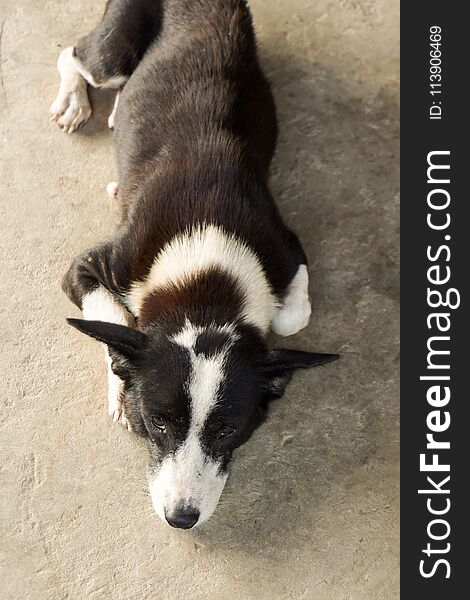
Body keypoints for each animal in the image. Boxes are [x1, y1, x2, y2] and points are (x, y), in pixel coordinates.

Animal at [51, 0, 338, 528]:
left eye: (228, 430)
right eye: (158, 422)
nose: (181, 518)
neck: (207, 280)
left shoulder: (288, 249)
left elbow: (292, 317)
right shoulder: (91, 265)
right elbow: (110, 314)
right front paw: (119, 380)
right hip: (113, 54)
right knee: (77, 55)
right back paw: (75, 103)